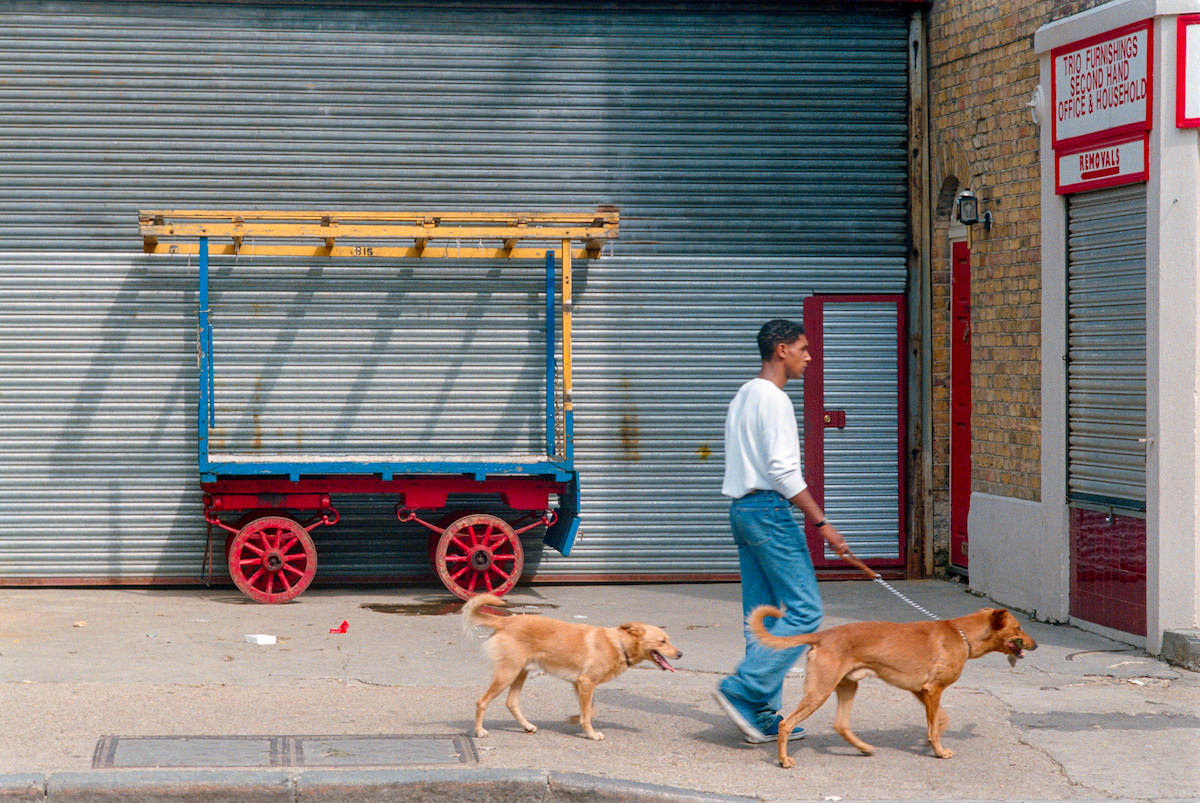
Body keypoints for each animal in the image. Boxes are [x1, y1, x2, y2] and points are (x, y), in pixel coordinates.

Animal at [460, 588, 681, 739]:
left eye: (668, 639)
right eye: (662, 641)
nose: (681, 654)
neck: (618, 644)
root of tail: (506, 621)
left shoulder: (580, 683)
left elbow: (590, 710)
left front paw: (576, 719)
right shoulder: (586, 682)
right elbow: (589, 713)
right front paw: (591, 734)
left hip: (520, 672)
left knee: (511, 702)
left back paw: (527, 726)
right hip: (508, 673)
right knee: (482, 702)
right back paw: (479, 731)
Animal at [744, 604, 1036, 768]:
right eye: (1019, 628)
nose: (1036, 645)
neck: (961, 634)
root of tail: (822, 636)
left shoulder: (922, 691)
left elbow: (939, 720)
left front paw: (933, 738)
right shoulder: (933, 690)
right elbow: (935, 726)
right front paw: (938, 750)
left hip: (847, 687)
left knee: (841, 725)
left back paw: (863, 748)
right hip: (819, 691)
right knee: (786, 724)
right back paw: (783, 760)